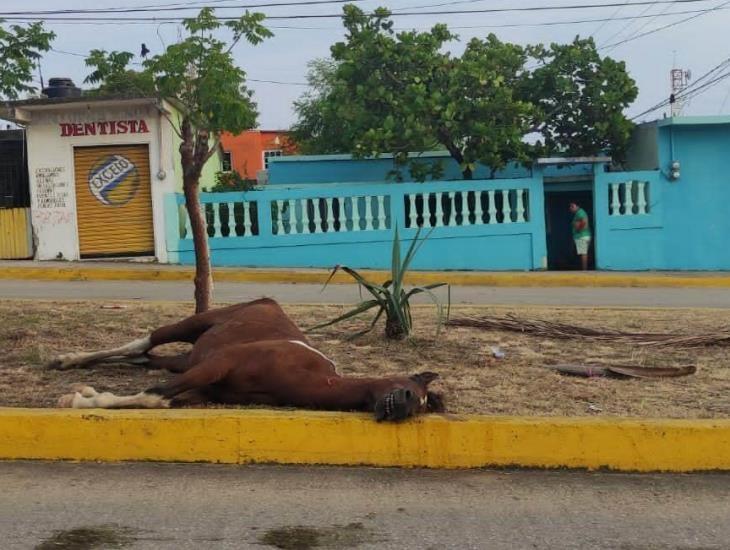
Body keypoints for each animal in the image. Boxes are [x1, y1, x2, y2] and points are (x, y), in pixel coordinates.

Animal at [52, 298, 444, 422]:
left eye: (422, 407)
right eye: (411, 389)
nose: (402, 407)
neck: (303, 373)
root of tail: (268, 302)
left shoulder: (206, 390)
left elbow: (158, 398)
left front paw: (84, 395)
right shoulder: (216, 366)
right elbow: (154, 395)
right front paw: (78, 401)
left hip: (186, 359)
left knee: (144, 359)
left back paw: (75, 368)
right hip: (195, 326)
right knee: (145, 341)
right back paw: (66, 360)